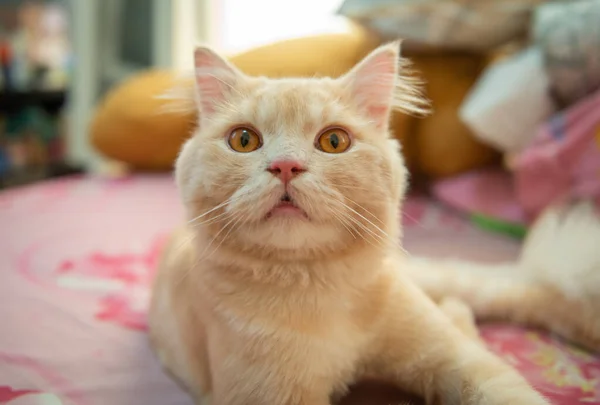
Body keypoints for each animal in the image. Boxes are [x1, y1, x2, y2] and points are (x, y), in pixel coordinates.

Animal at [148, 44, 552, 404]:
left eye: (334, 141)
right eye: (244, 140)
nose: (285, 166)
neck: (319, 285)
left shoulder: (457, 358)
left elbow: (506, 389)